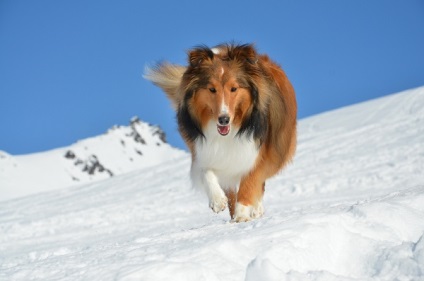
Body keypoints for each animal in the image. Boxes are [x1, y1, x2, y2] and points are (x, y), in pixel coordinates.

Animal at [144, 43, 296, 221]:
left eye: (234, 88)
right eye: (212, 89)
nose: (224, 119)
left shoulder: (257, 152)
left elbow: (249, 183)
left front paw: (242, 215)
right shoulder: (203, 150)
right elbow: (207, 172)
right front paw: (218, 201)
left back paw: (255, 210)